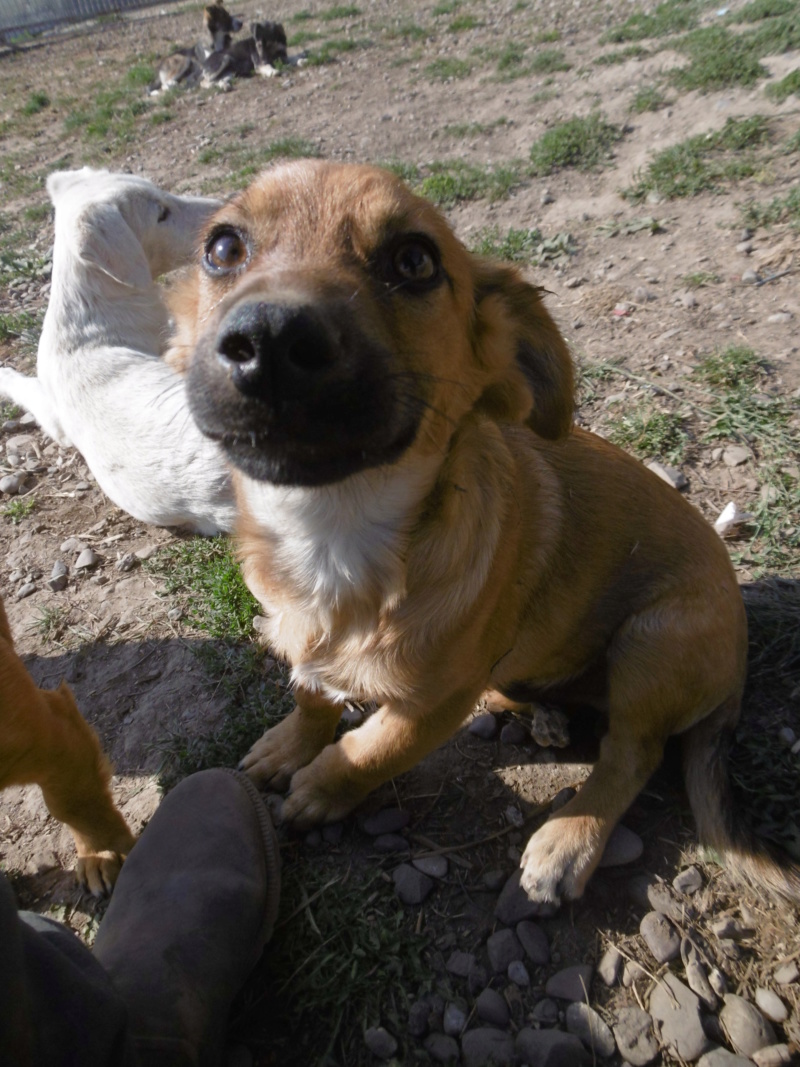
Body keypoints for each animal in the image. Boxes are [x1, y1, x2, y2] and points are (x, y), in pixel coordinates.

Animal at [167, 160, 797, 909]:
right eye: (222, 247)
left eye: (415, 261)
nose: (267, 343)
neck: (333, 535)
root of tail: (734, 677)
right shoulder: (302, 638)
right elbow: (312, 695)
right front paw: (291, 745)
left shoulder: (429, 707)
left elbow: (370, 749)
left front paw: (321, 788)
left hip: (657, 638)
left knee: (632, 753)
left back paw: (568, 839)